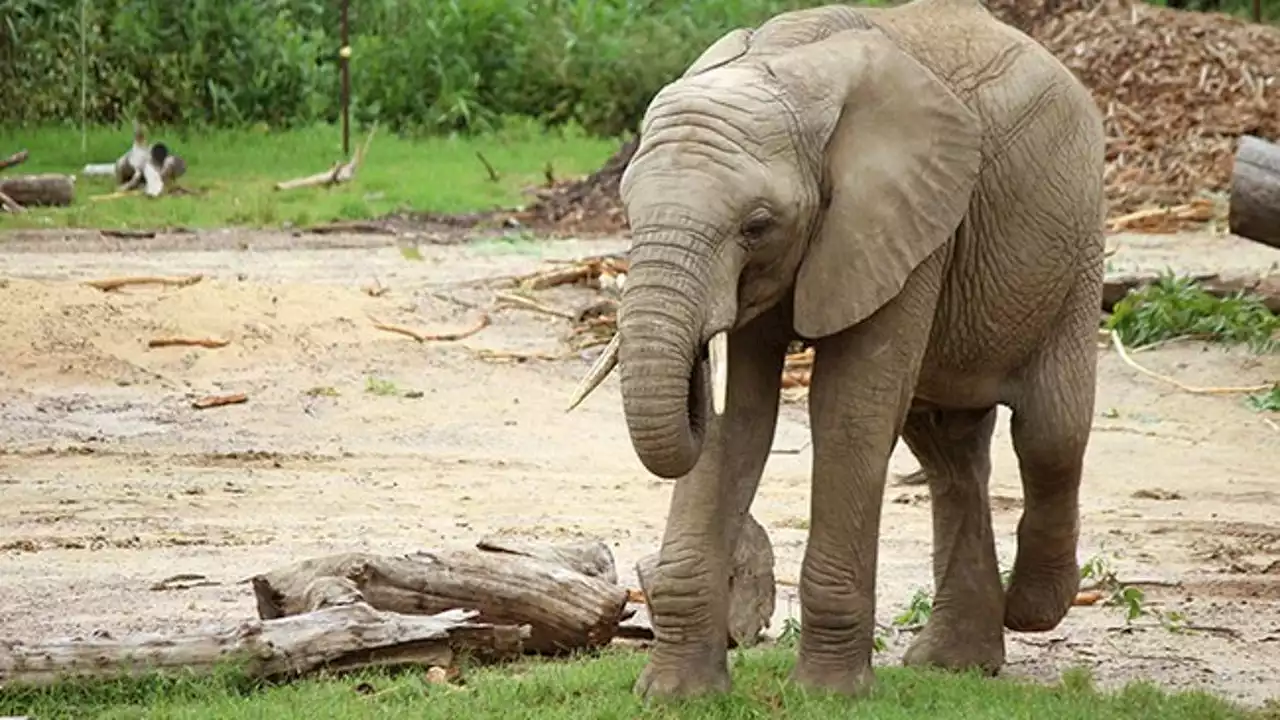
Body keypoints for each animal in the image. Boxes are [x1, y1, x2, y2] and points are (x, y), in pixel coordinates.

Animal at [565, 0, 1105, 702]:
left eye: (756, 226)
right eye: (628, 211)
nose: (695, 366)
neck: (786, 67)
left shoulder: (909, 220)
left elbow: (847, 412)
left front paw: (826, 695)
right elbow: (741, 423)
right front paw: (675, 696)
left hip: (1077, 242)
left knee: (1049, 433)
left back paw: (1032, 609)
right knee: (949, 451)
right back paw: (952, 664)